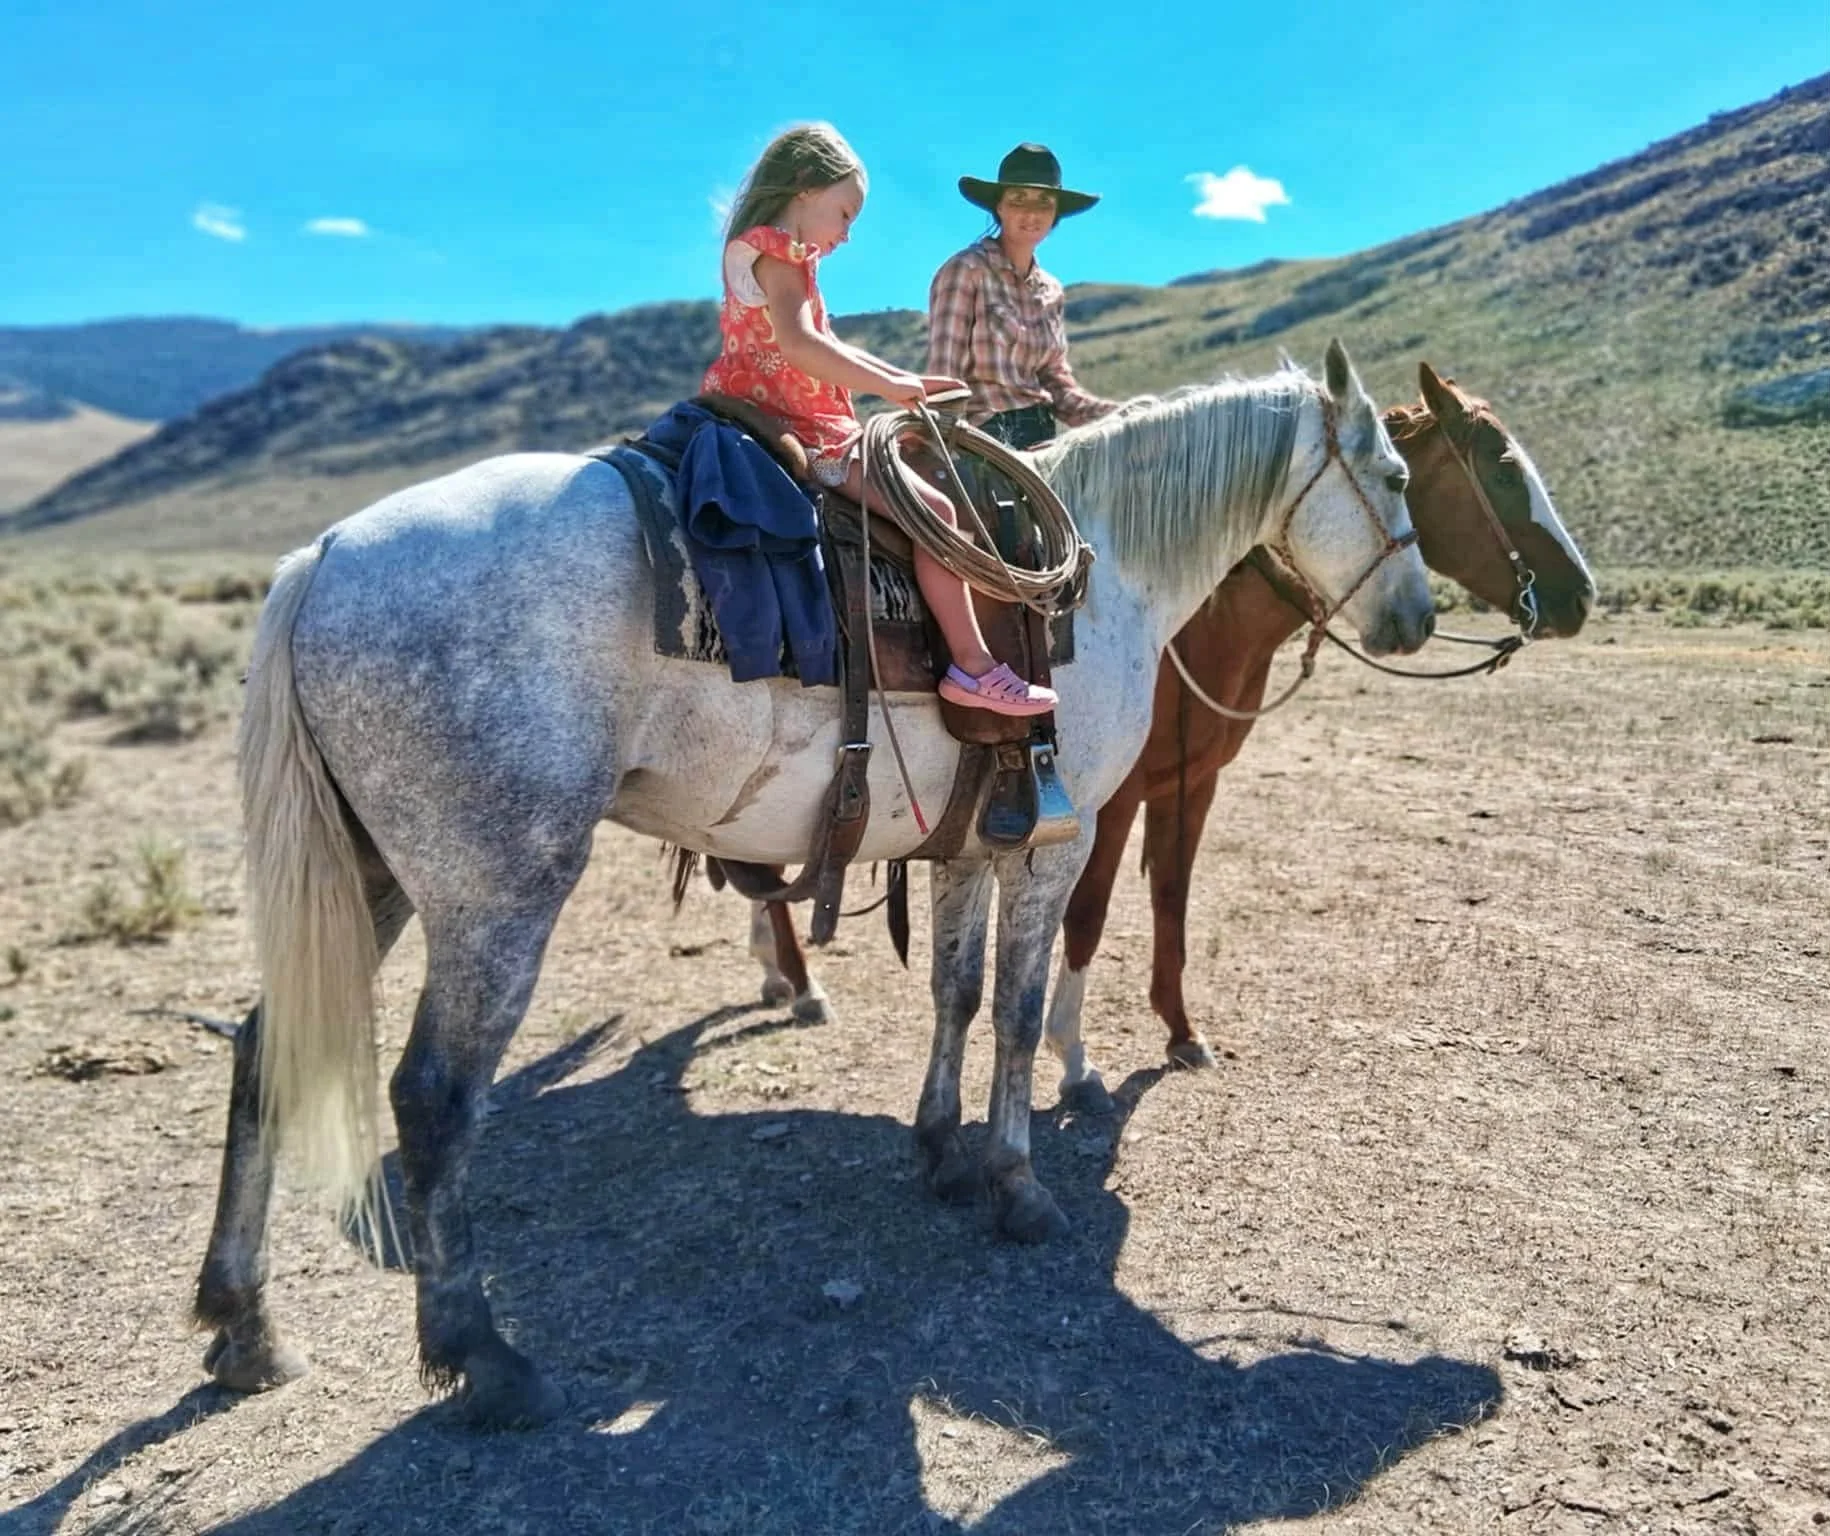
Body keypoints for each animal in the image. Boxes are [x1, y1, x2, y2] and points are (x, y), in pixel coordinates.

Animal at [195, 341, 1433, 1427]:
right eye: (1397, 475)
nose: (1418, 617)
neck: (1109, 573)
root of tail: (323, 556)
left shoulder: (970, 841)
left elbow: (956, 993)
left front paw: (940, 1152)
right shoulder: (1058, 840)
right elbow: (1021, 1010)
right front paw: (1018, 1186)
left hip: (376, 873)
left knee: (262, 1050)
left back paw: (244, 1323)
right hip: (495, 896)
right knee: (435, 1099)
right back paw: (482, 1356)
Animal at [744, 363, 1597, 1096]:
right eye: (1501, 465)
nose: (1580, 595)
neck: (1176, 604)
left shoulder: (1190, 782)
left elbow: (1171, 901)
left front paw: (1181, 1033)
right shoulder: (1103, 803)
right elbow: (1088, 915)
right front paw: (1074, 1057)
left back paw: (775, 970)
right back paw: (802, 984)